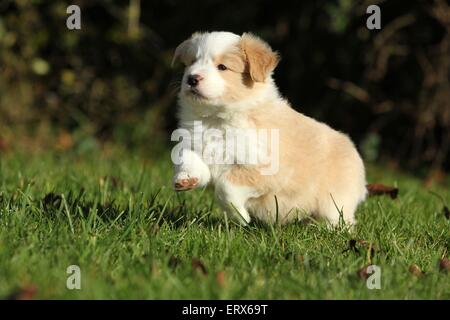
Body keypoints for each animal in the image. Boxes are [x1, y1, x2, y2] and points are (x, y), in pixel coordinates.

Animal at [171, 30, 366, 225]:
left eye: (222, 67)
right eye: (191, 63)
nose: (192, 78)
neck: (216, 118)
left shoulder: (265, 168)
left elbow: (225, 187)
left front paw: (240, 217)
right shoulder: (193, 144)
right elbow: (189, 160)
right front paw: (186, 179)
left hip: (335, 202)